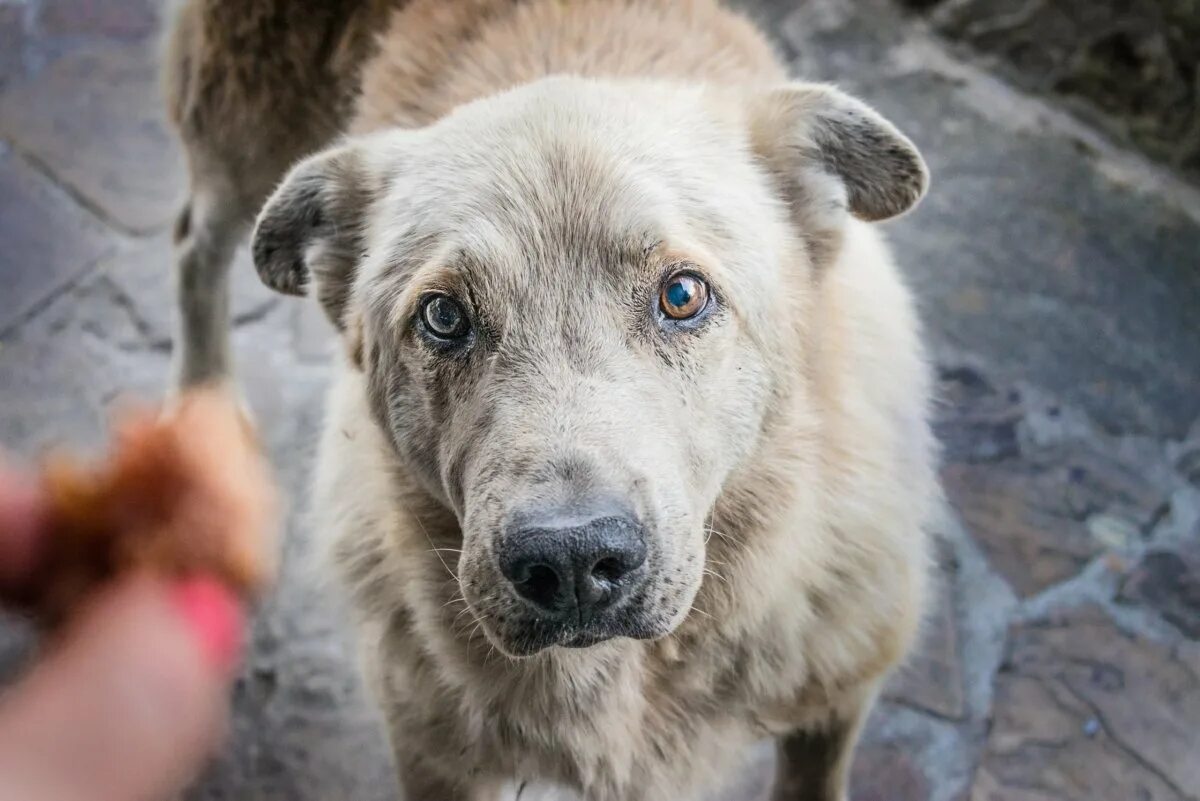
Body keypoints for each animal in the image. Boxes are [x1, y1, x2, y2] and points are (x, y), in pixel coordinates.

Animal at [164, 1, 940, 801]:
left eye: (683, 295)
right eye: (443, 315)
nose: (571, 563)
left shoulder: (835, 701)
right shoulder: (432, 753)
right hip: (241, 141)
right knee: (194, 245)